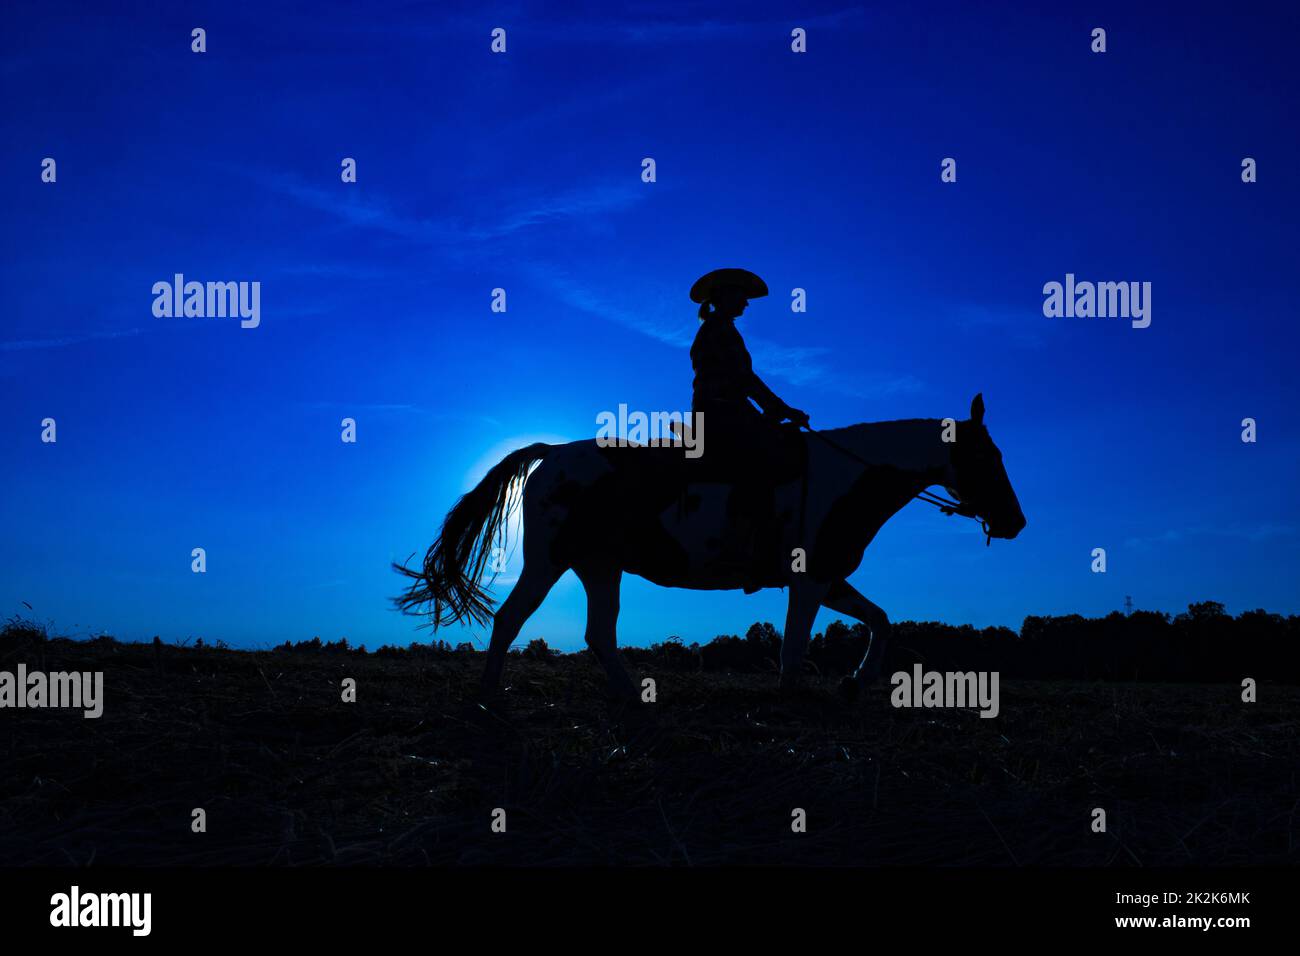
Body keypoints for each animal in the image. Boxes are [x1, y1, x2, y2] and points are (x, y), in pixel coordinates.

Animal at [395, 392, 1024, 697]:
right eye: (987, 455)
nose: (1015, 522)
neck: (848, 476)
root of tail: (551, 453)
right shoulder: (810, 579)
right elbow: (795, 646)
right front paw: (794, 694)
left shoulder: (828, 575)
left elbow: (882, 619)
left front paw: (858, 680)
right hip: (549, 562)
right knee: (511, 618)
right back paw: (489, 694)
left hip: (599, 566)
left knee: (599, 633)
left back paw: (629, 694)